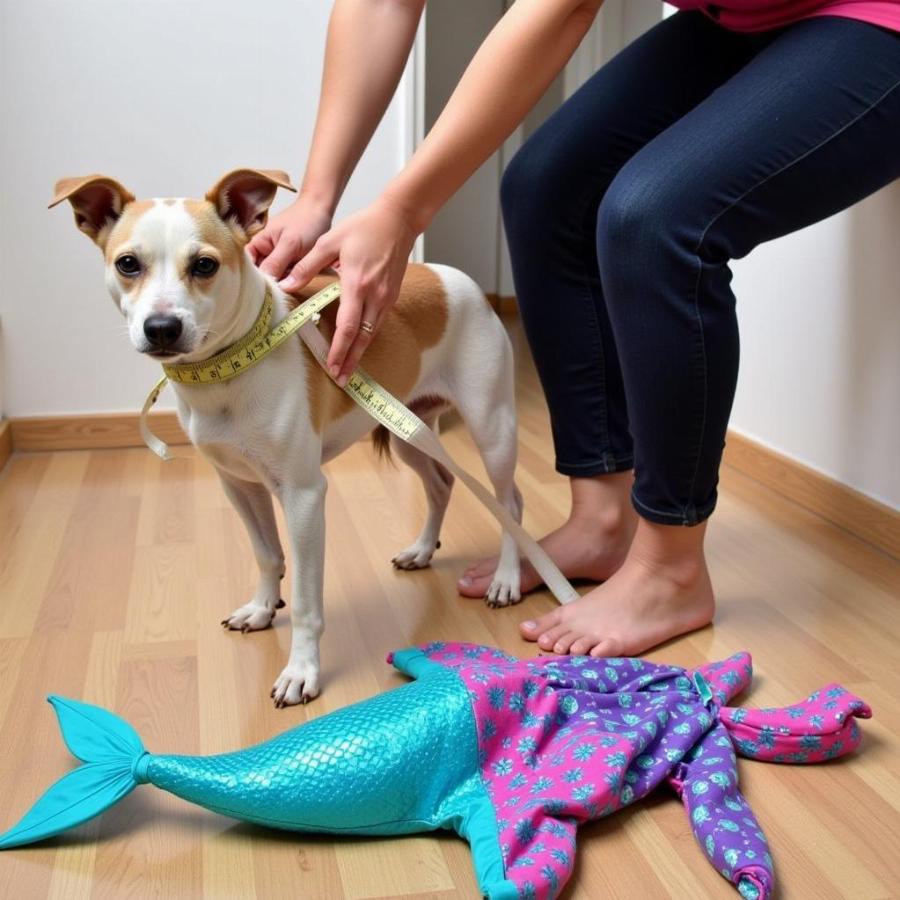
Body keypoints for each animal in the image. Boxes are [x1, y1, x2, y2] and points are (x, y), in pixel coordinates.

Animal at [49, 167, 524, 704]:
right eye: (128, 264)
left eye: (205, 265)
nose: (162, 328)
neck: (223, 376)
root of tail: (461, 281)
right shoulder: (239, 484)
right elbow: (266, 554)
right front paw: (261, 609)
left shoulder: (303, 497)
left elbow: (304, 602)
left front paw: (302, 671)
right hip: (409, 434)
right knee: (440, 486)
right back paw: (422, 550)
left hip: (492, 429)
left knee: (511, 506)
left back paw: (506, 579)